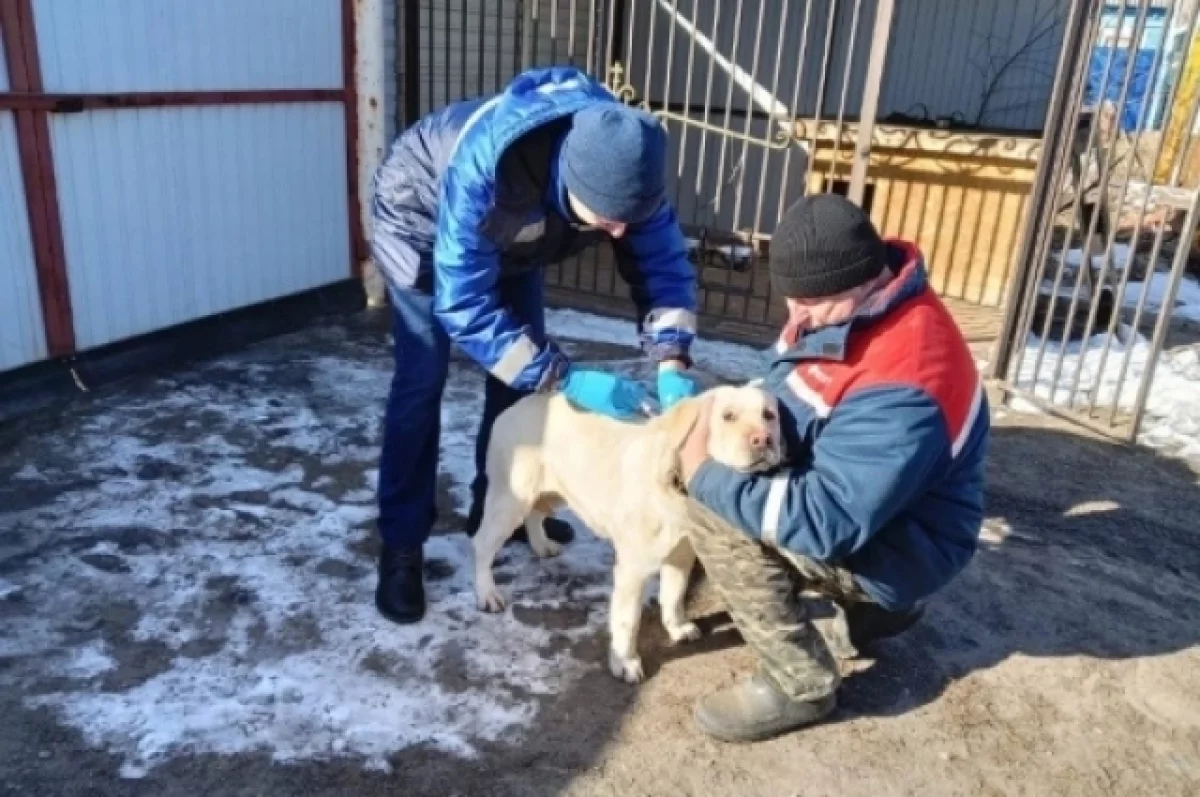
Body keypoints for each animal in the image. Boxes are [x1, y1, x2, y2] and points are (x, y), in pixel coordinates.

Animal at [468, 384, 777, 681]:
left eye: (769, 415)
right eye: (728, 416)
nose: (764, 439)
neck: (674, 481)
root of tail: (523, 402)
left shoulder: (681, 553)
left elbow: (674, 595)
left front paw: (676, 628)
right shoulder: (633, 569)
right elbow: (628, 620)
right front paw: (625, 663)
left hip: (551, 492)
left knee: (534, 515)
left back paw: (542, 545)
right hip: (511, 501)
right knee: (481, 543)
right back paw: (487, 594)